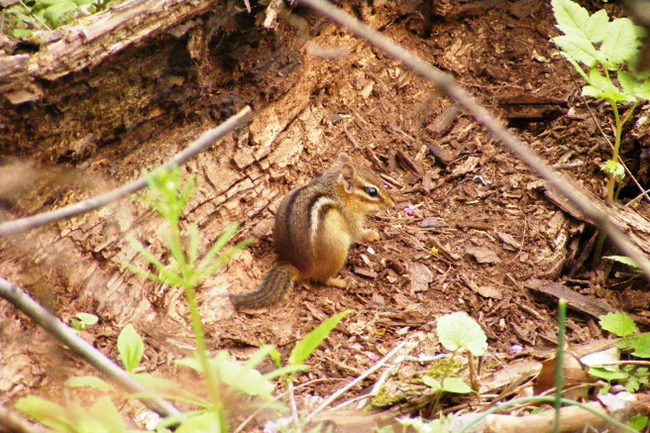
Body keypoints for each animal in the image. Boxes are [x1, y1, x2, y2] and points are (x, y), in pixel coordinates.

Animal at [231, 153, 395, 310]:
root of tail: (300, 268)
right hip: (338, 252)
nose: (392, 203)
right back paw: (344, 282)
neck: (338, 191)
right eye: (372, 192)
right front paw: (372, 235)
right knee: (324, 280)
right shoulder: (351, 219)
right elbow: (357, 233)